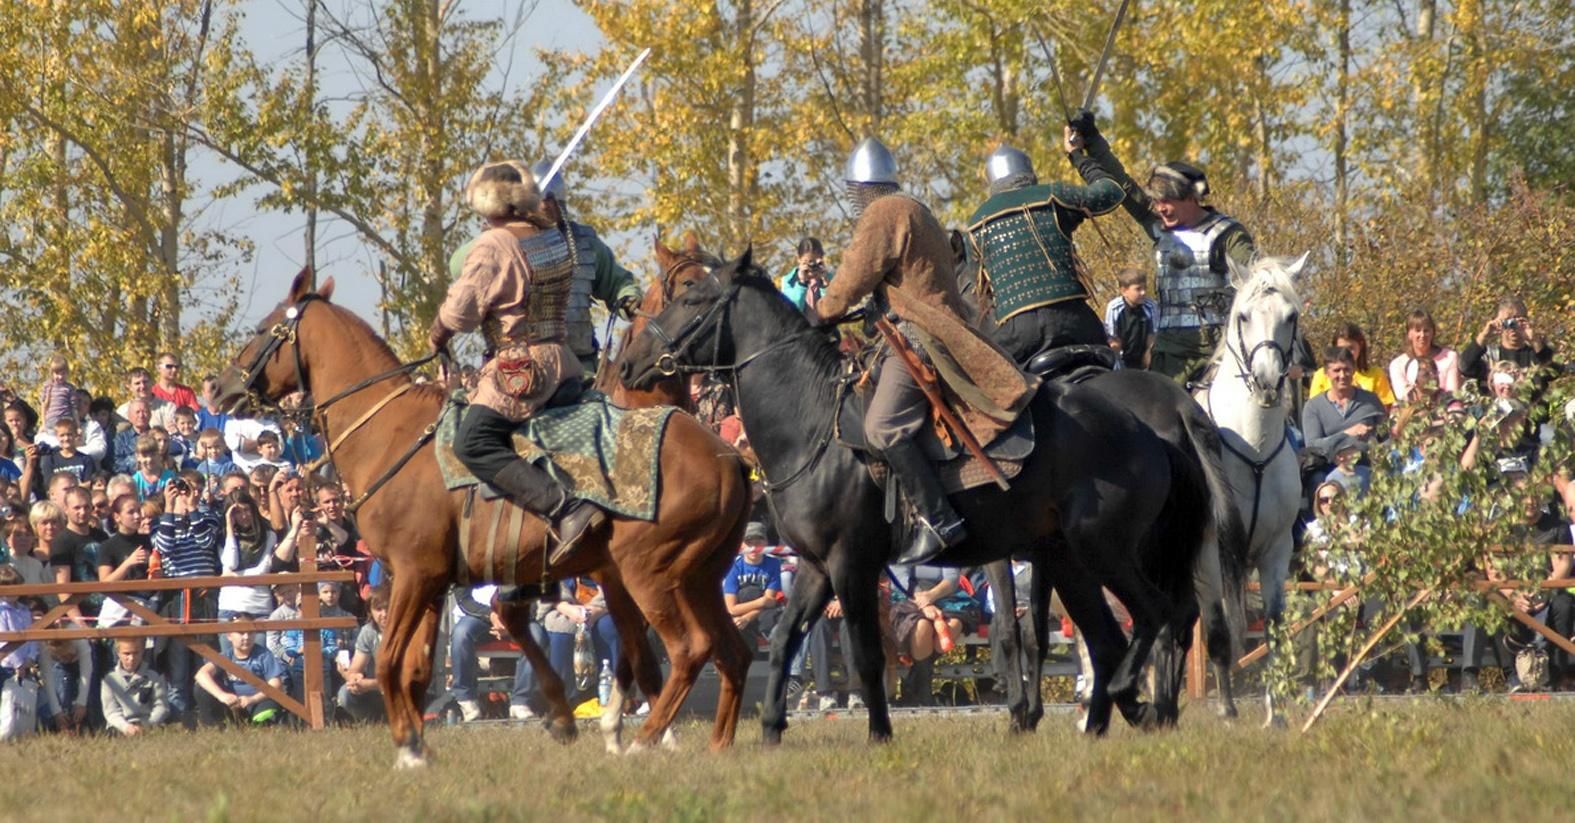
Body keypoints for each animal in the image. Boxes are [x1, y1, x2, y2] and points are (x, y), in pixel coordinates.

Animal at [215, 269, 749, 767]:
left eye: (261, 330)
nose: (219, 388)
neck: (391, 434)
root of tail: (728, 459)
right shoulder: (430, 584)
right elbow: (416, 668)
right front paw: (420, 744)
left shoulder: (413, 574)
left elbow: (388, 661)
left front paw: (407, 747)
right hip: (697, 577)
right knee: (728, 651)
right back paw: (714, 744)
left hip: (651, 575)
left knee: (688, 649)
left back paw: (645, 740)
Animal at [620, 251, 1209, 739]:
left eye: (692, 297)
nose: (629, 363)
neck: (812, 423)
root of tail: (1150, 431)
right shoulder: (815, 566)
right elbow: (786, 639)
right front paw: (769, 729)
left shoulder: (851, 564)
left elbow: (866, 656)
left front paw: (880, 734)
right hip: (1070, 562)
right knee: (1112, 639)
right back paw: (1116, 719)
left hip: (1103, 551)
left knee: (1157, 614)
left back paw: (1137, 703)